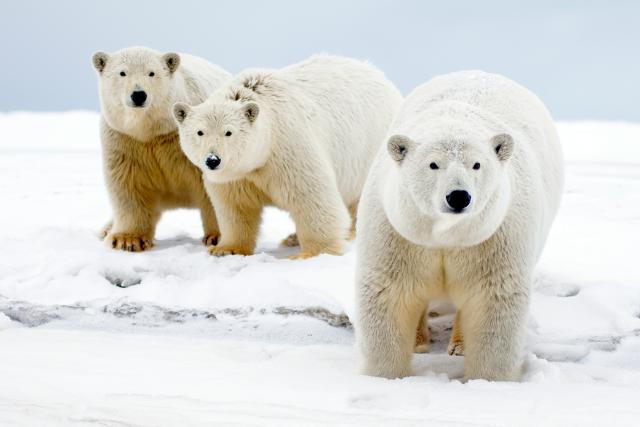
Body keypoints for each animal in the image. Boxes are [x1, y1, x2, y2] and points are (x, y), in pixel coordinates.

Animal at [91, 46, 231, 251]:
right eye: (122, 72)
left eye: (151, 73)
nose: (138, 94)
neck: (151, 131)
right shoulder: (125, 140)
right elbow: (129, 183)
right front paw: (127, 240)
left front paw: (218, 237)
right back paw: (106, 229)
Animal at [172, 55, 403, 259]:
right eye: (200, 132)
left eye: (228, 132)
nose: (212, 160)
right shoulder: (237, 175)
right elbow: (235, 206)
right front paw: (225, 249)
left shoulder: (288, 147)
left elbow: (312, 197)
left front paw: (312, 253)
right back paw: (292, 238)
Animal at [354, 71, 564, 381]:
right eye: (433, 164)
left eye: (477, 165)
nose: (458, 196)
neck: (446, 236)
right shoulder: (398, 232)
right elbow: (390, 293)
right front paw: (385, 375)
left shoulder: (494, 236)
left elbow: (493, 299)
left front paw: (489, 380)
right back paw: (419, 341)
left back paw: (460, 345)